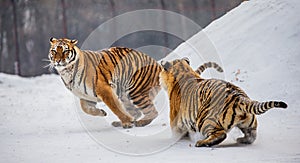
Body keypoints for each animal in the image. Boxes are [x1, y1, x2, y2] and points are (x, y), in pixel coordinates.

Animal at [47, 37, 221, 129]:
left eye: (65, 51)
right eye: (54, 51)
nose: (58, 60)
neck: (67, 72)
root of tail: (158, 64)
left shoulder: (103, 89)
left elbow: (114, 107)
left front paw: (126, 121)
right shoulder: (85, 95)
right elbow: (86, 109)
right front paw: (102, 113)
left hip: (135, 91)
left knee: (151, 111)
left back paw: (138, 122)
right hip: (125, 94)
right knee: (136, 111)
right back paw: (124, 121)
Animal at [159, 58, 288, 147]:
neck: (184, 71)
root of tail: (238, 96)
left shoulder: (175, 122)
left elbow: (176, 133)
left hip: (204, 119)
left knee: (220, 134)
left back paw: (201, 142)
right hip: (249, 123)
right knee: (252, 136)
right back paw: (241, 140)